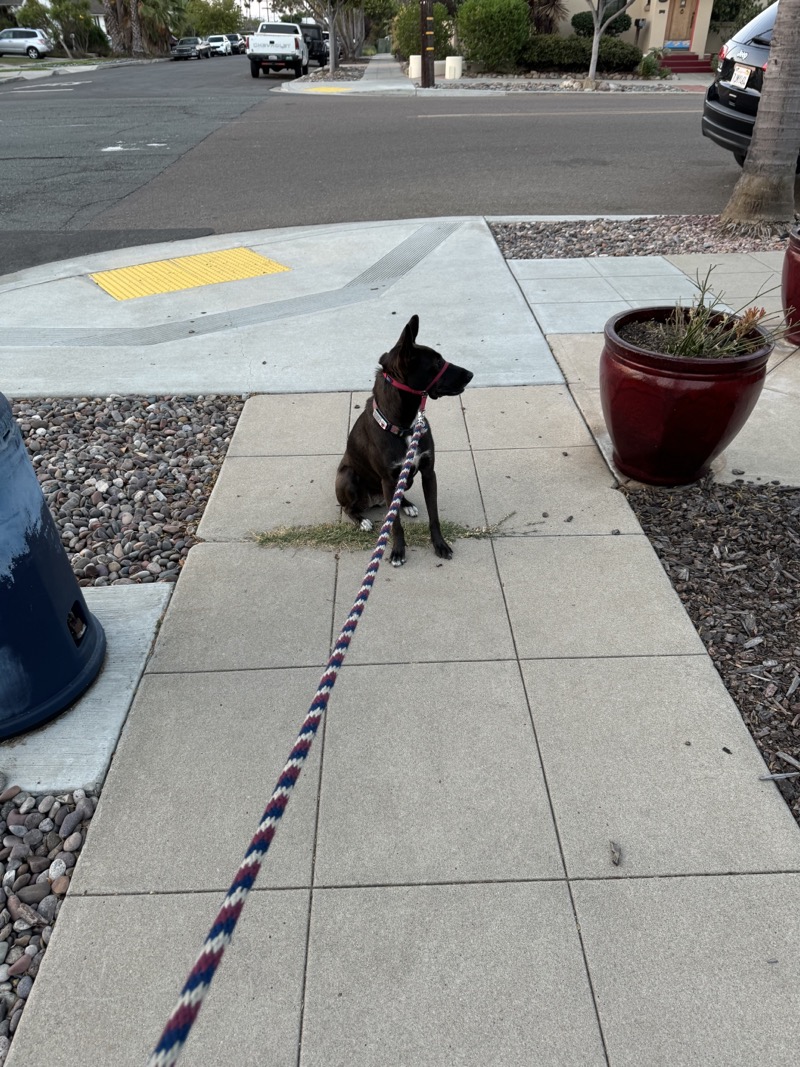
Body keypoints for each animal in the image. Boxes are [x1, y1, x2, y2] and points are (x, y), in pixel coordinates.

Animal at [334, 313, 473, 567]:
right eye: (436, 364)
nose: (470, 375)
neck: (405, 425)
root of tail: (375, 500)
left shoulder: (428, 473)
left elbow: (434, 516)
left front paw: (440, 545)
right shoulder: (389, 480)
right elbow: (395, 525)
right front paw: (398, 551)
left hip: (404, 480)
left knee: (398, 500)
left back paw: (407, 505)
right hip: (349, 477)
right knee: (349, 507)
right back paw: (362, 520)